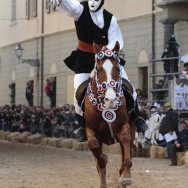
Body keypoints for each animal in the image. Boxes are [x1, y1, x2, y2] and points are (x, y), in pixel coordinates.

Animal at [84, 41, 135, 187]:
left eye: (118, 69)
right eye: (99, 69)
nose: (111, 100)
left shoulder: (124, 126)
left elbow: (126, 140)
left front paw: (126, 176)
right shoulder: (90, 129)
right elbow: (93, 146)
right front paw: (103, 160)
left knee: (125, 149)